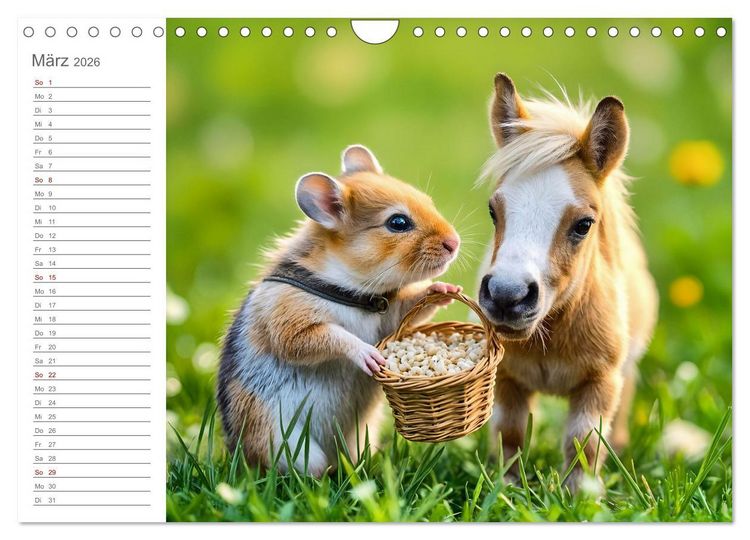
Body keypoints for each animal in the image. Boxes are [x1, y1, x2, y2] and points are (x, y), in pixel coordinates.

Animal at [217, 144, 461, 476]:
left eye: (428, 201)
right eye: (398, 223)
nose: (455, 242)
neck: (355, 291)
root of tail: (239, 455)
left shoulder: (390, 317)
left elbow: (410, 307)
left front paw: (444, 290)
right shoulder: (290, 321)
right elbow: (330, 337)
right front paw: (371, 357)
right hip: (287, 445)